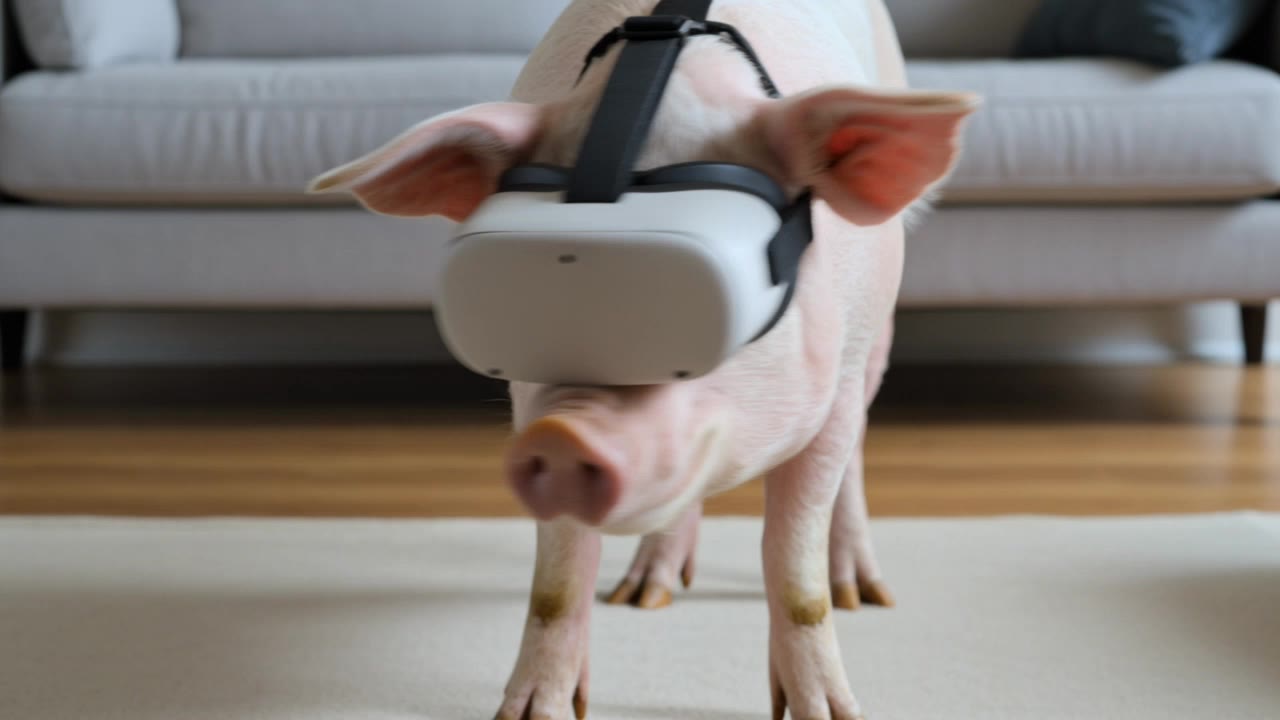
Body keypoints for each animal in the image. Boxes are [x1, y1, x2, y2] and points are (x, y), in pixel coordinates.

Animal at [309, 1, 977, 717]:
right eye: (523, 307)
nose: (563, 432)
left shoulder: (836, 370)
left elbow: (795, 573)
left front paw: (832, 711)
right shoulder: (524, 399)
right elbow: (557, 580)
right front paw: (531, 710)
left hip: (877, 325)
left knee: (854, 450)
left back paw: (863, 593)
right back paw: (645, 595)